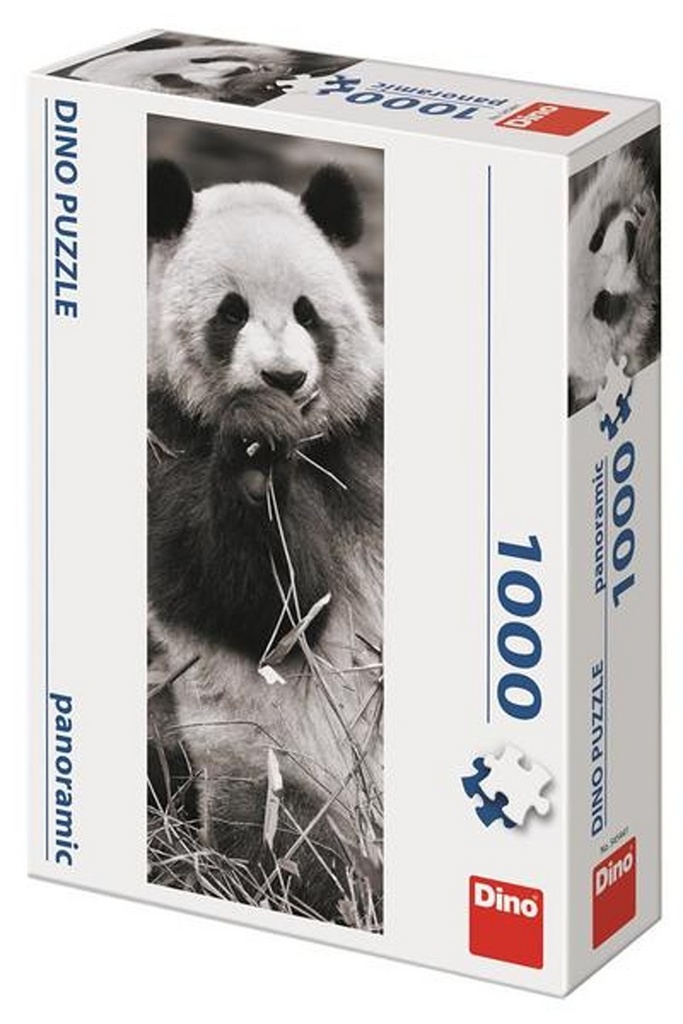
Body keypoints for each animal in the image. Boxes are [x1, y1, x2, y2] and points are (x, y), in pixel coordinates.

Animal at [146, 158, 384, 926]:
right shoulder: (161, 436)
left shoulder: (371, 434)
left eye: (308, 312)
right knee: (293, 855)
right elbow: (266, 611)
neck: (309, 444)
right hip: (269, 767)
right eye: (231, 312)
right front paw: (254, 456)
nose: (284, 377)